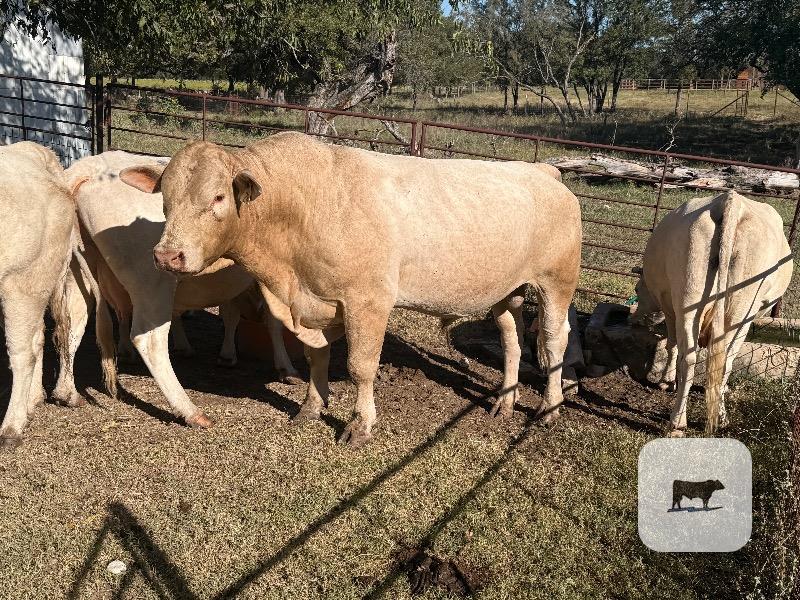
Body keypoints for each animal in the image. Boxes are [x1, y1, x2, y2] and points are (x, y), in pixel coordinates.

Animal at [55, 152, 301, 421]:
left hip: (74, 272)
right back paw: (189, 410)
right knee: (149, 340)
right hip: (152, 283)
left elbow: (235, 314)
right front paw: (286, 368)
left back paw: (66, 393)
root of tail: (88, 168)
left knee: (72, 322)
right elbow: (272, 320)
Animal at [119, 132, 582, 446]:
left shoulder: (368, 301)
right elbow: (315, 355)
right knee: (512, 340)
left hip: (557, 281)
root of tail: (540, 169)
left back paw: (549, 409)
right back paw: (505, 401)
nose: (168, 256)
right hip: (507, 290)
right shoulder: (315, 301)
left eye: (218, 197)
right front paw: (311, 406)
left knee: (554, 340)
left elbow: (361, 366)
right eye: (165, 197)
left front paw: (360, 425)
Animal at [631, 191, 793, 436]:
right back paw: (705, 419)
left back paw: (681, 422)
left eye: (636, 290)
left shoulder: (669, 306)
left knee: (696, 357)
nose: (634, 318)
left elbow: (671, 344)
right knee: (711, 359)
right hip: (733, 305)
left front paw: (667, 380)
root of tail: (731, 200)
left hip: (695, 298)